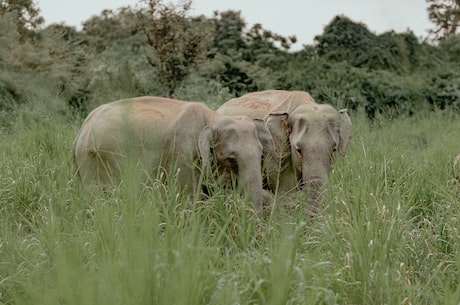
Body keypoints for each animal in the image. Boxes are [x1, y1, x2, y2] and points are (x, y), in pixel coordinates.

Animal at [73, 95, 274, 214]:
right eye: (231, 160)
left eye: (261, 155)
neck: (213, 118)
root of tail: (82, 128)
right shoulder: (182, 151)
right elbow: (186, 197)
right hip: (94, 160)